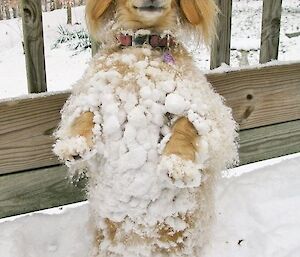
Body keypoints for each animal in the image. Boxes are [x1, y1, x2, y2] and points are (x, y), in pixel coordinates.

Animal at [52, 1, 238, 255]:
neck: (144, 43)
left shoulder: (201, 109)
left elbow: (186, 125)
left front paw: (178, 165)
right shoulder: (97, 92)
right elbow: (86, 114)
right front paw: (74, 145)